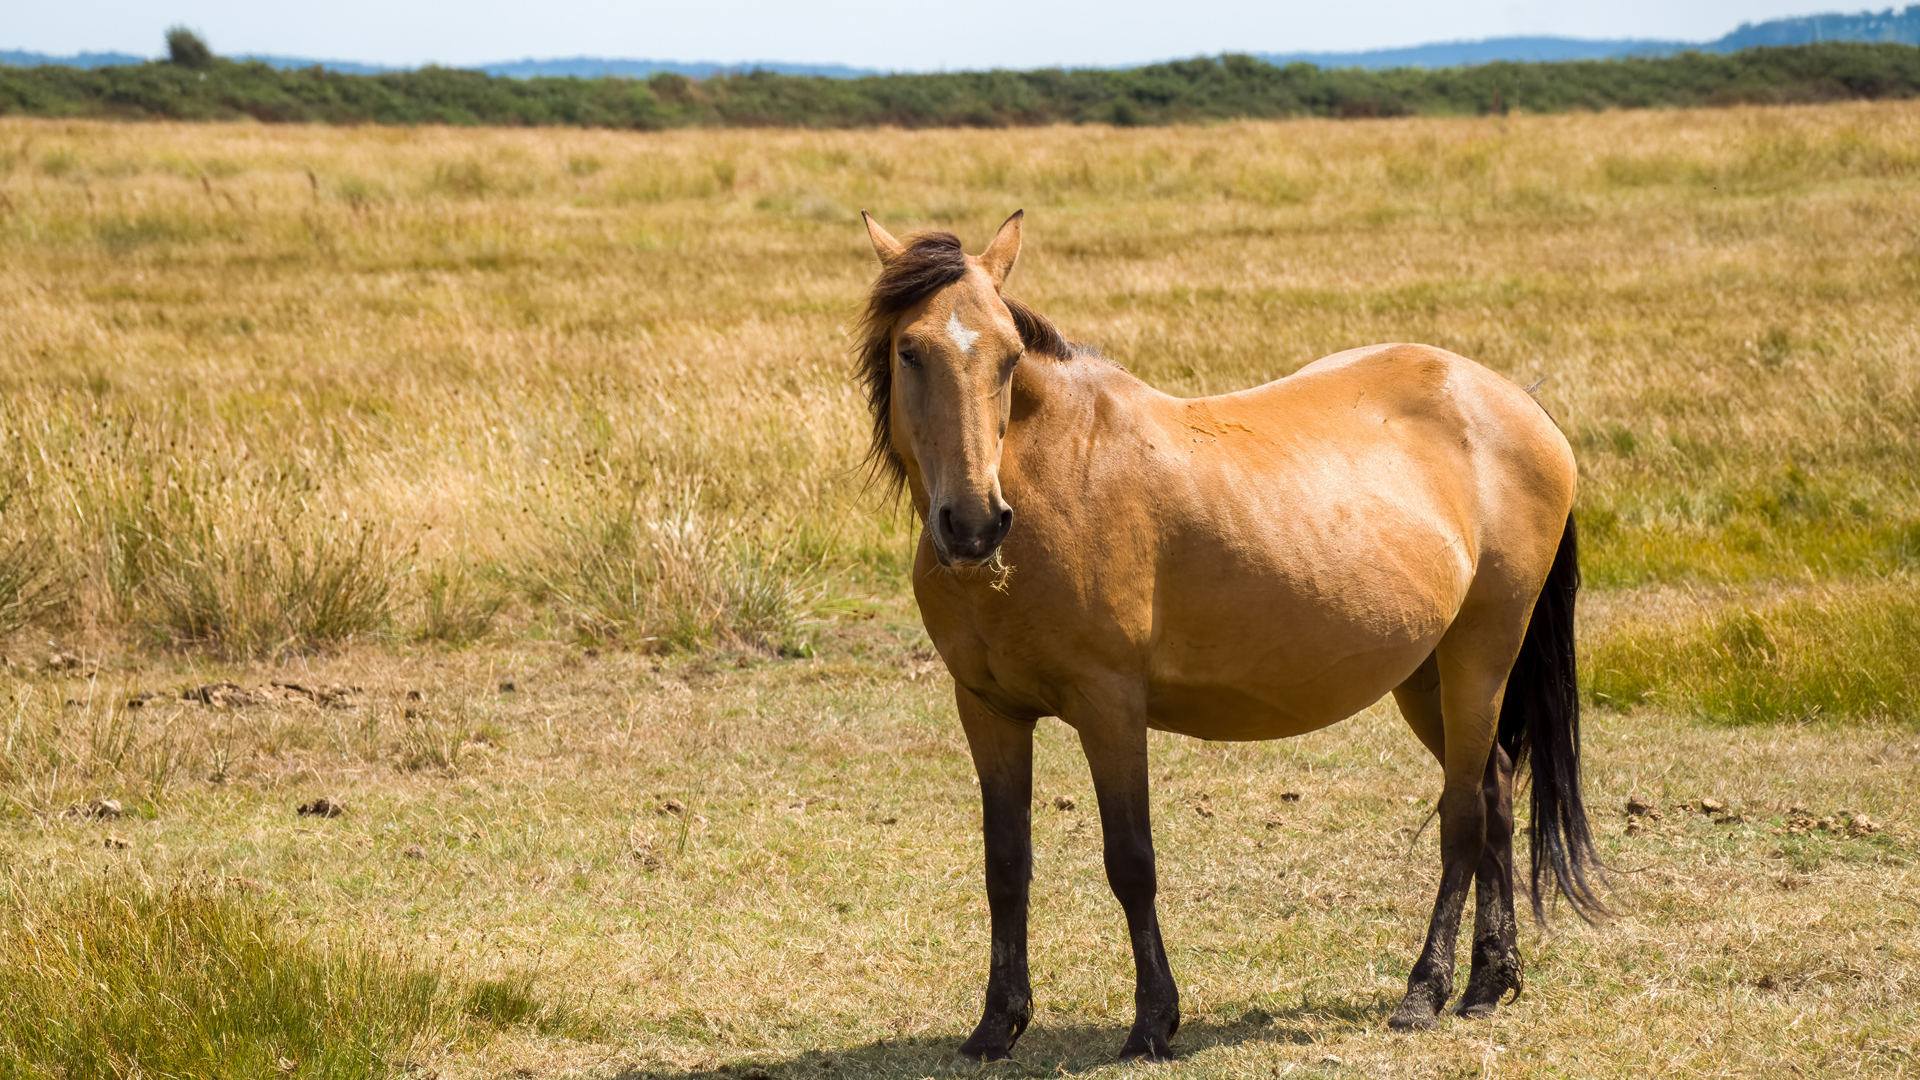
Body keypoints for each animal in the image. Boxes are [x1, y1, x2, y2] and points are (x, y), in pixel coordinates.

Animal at [860, 208, 1605, 1053]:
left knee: (1464, 816)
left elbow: (1131, 861)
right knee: (1496, 791)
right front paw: (997, 1024)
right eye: (910, 350)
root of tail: (1518, 404)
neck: (1052, 480)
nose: (975, 524)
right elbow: (1006, 865)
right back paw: (1488, 981)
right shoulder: (988, 710)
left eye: (1010, 356)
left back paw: (1426, 990)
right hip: (1428, 674)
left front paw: (1153, 1022)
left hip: (1483, 653)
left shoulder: (1109, 705)